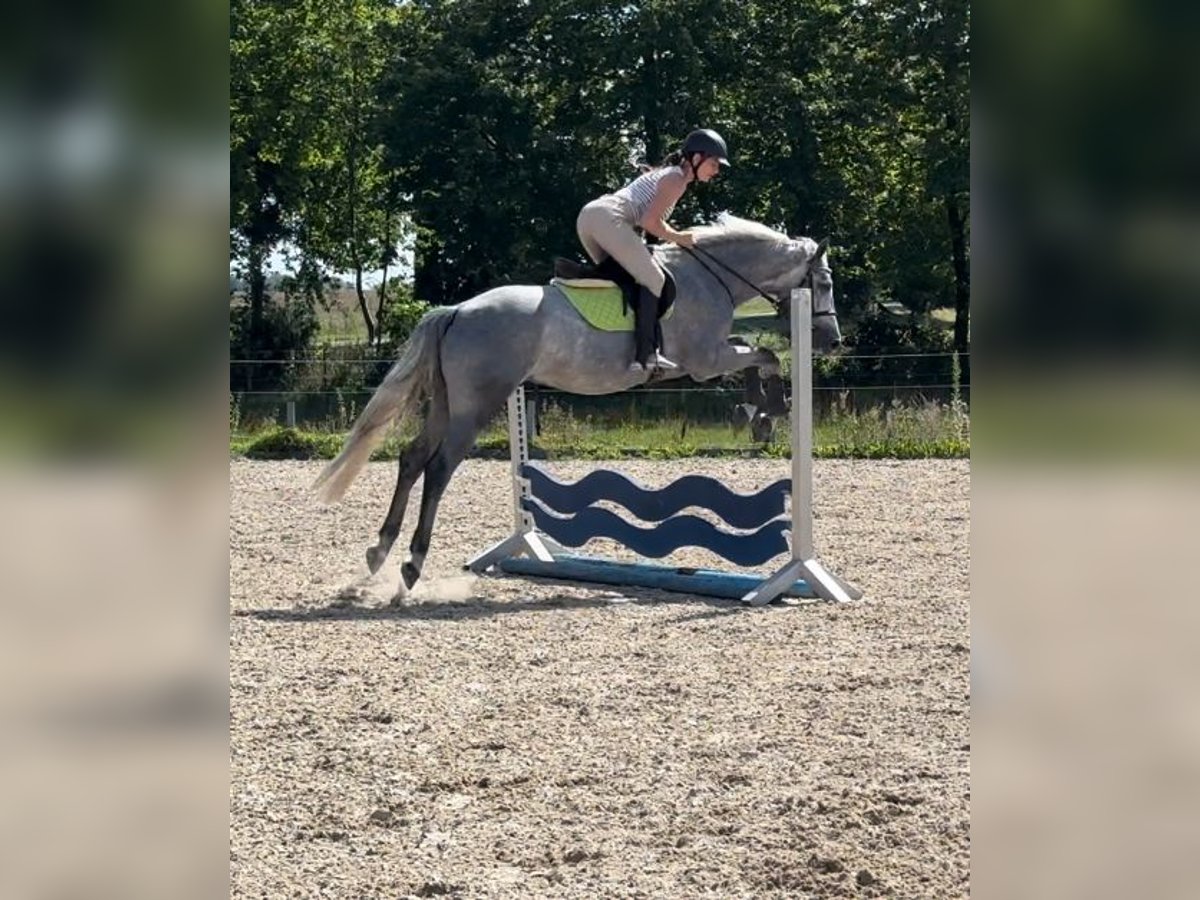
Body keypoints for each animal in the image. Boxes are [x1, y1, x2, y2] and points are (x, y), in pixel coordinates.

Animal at [312, 214, 845, 594]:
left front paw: (758, 413)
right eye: (823, 284)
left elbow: (756, 353)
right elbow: (765, 355)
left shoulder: (710, 356)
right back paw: (411, 564)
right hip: (476, 405)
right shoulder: (704, 359)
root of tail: (458, 310)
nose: (831, 340)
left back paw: (379, 552)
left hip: (447, 403)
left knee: (412, 458)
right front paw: (767, 410)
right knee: (439, 467)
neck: (713, 278)